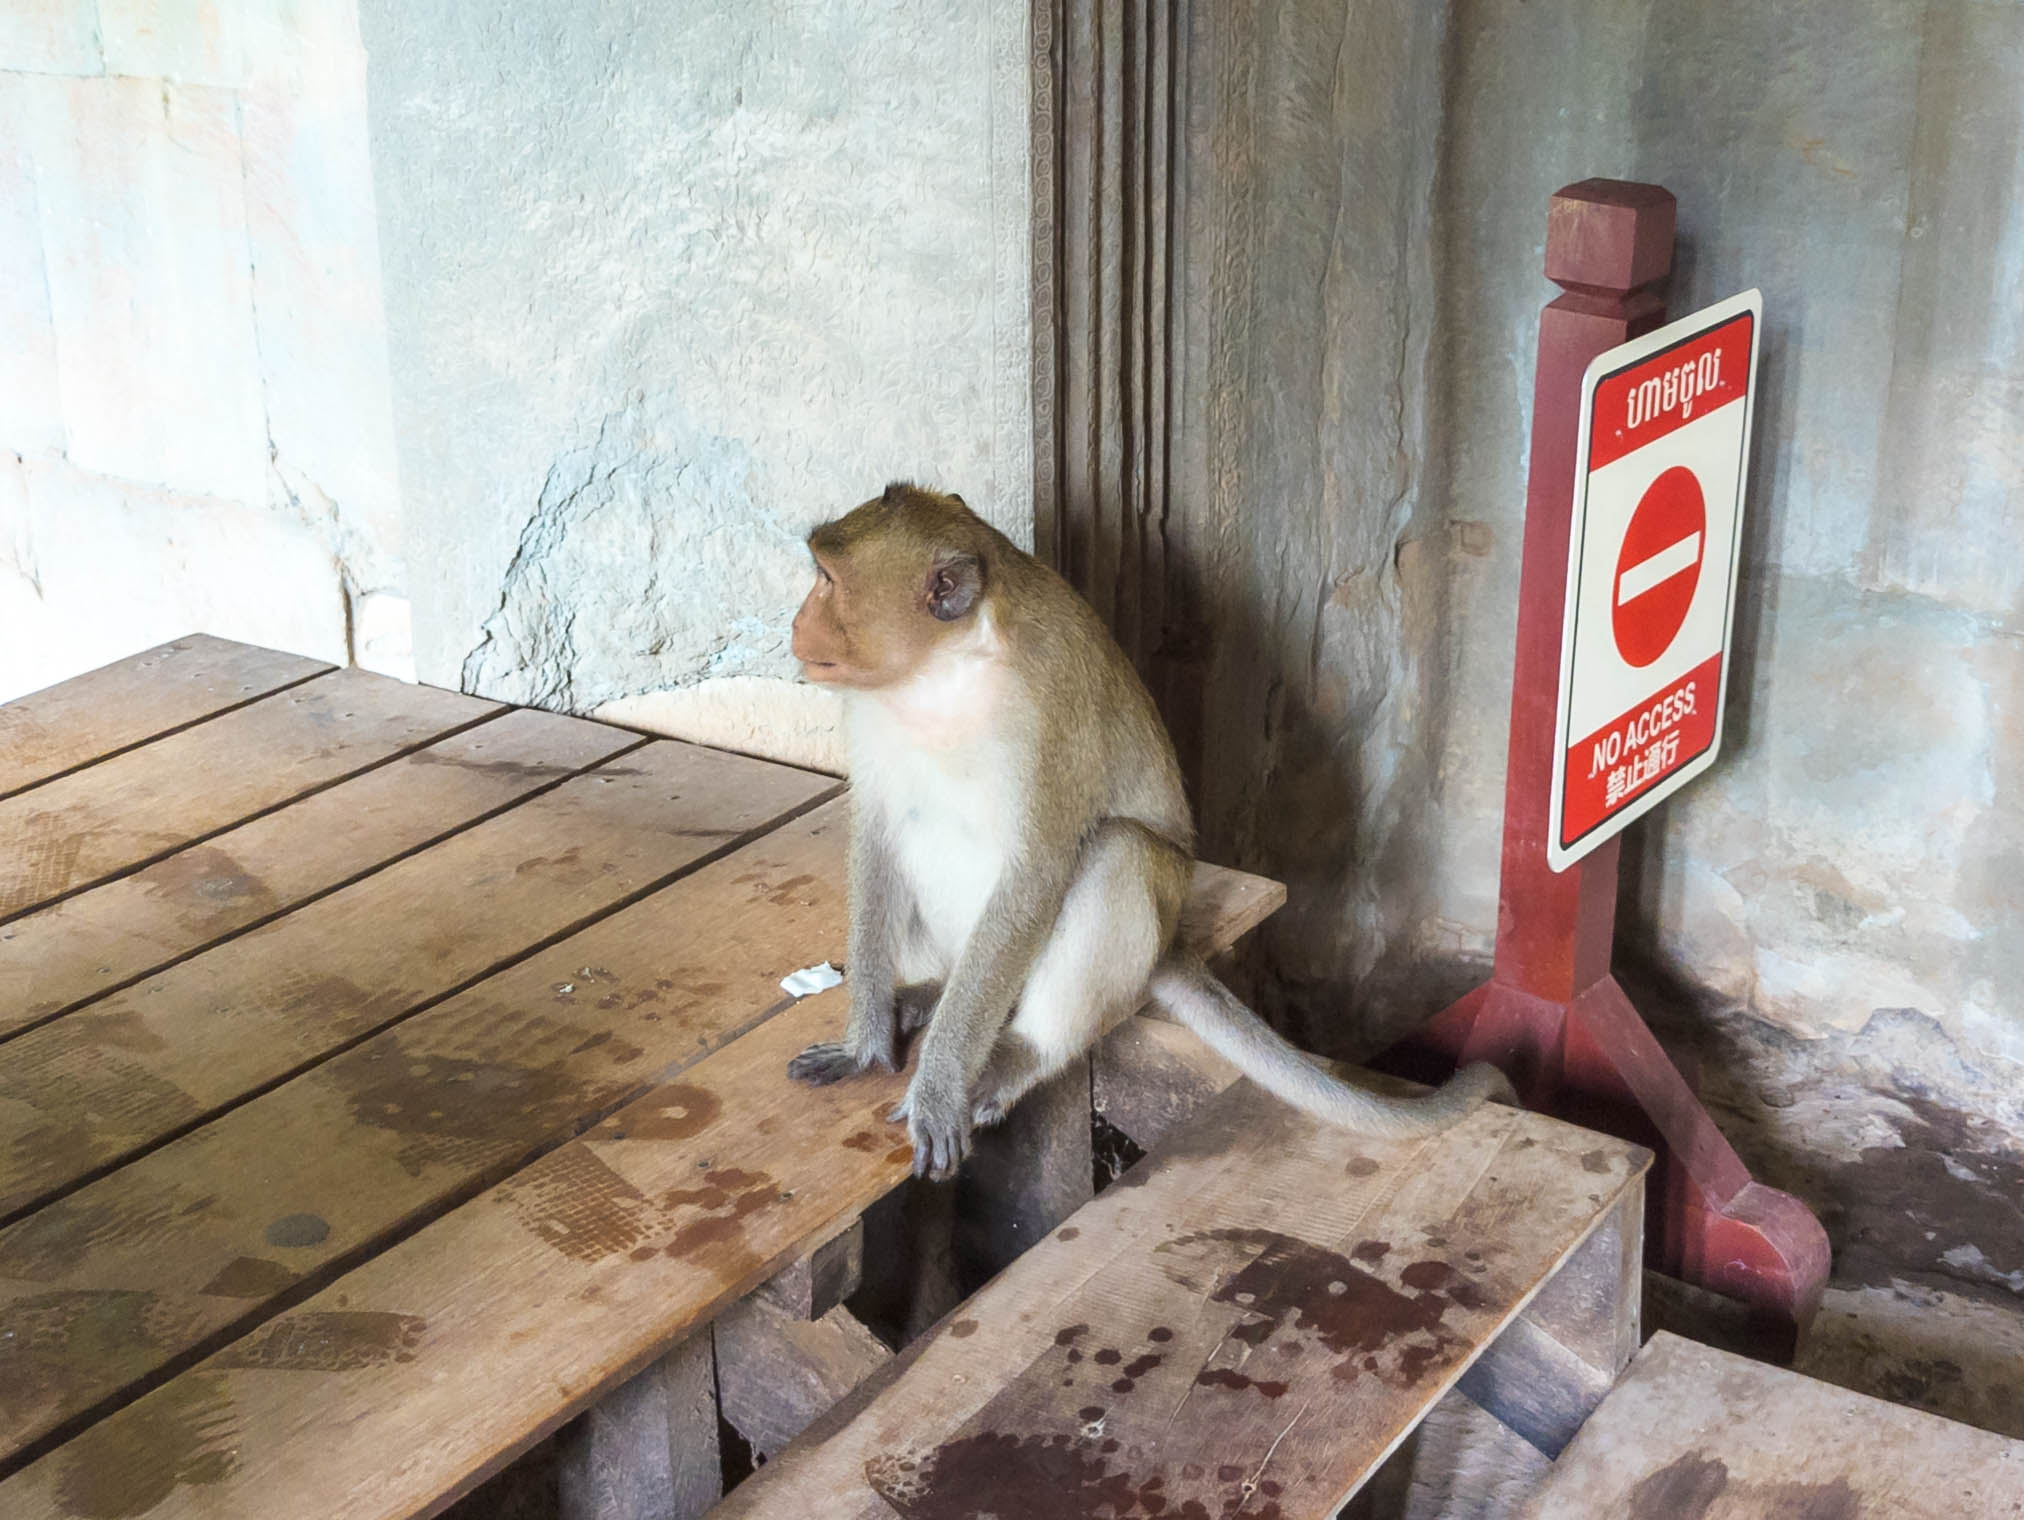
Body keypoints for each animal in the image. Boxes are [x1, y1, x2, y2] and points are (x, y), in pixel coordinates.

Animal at [781, 483, 1513, 1173]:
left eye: (826, 579)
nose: (796, 621)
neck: (942, 670)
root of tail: (1169, 944)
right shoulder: (870, 709)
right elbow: (876, 834)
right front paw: (865, 1043)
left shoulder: (1050, 715)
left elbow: (1038, 873)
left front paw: (940, 1088)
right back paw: (932, 993)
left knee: (1118, 852)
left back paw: (1018, 1053)